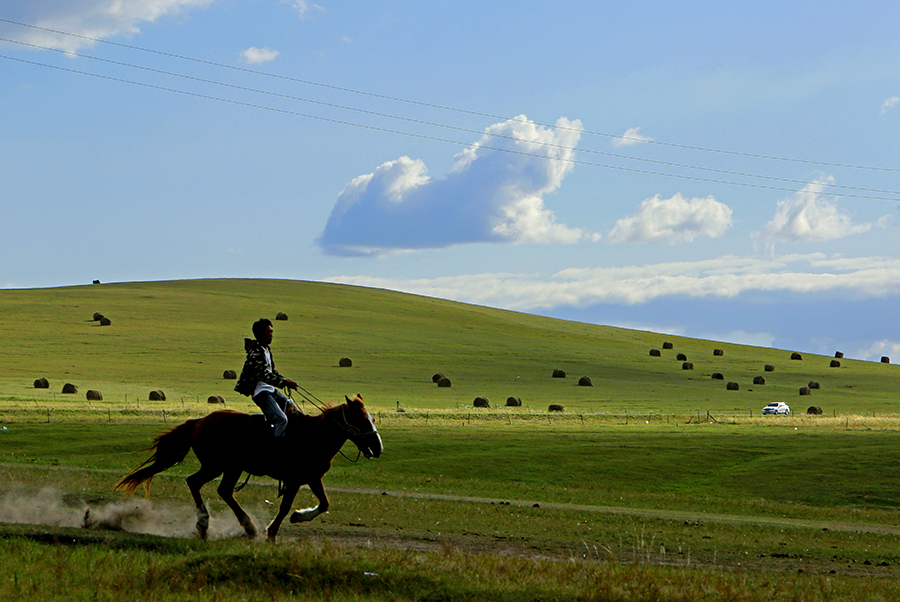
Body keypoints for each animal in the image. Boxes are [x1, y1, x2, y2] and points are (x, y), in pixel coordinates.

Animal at [114, 390, 382, 540]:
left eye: (371, 418)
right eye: (361, 419)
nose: (378, 448)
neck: (315, 436)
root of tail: (199, 421)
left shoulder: (312, 477)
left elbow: (324, 503)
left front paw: (298, 517)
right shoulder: (295, 479)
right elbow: (284, 506)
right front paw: (272, 533)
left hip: (229, 468)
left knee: (218, 489)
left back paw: (226, 525)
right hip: (219, 466)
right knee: (198, 483)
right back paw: (221, 525)